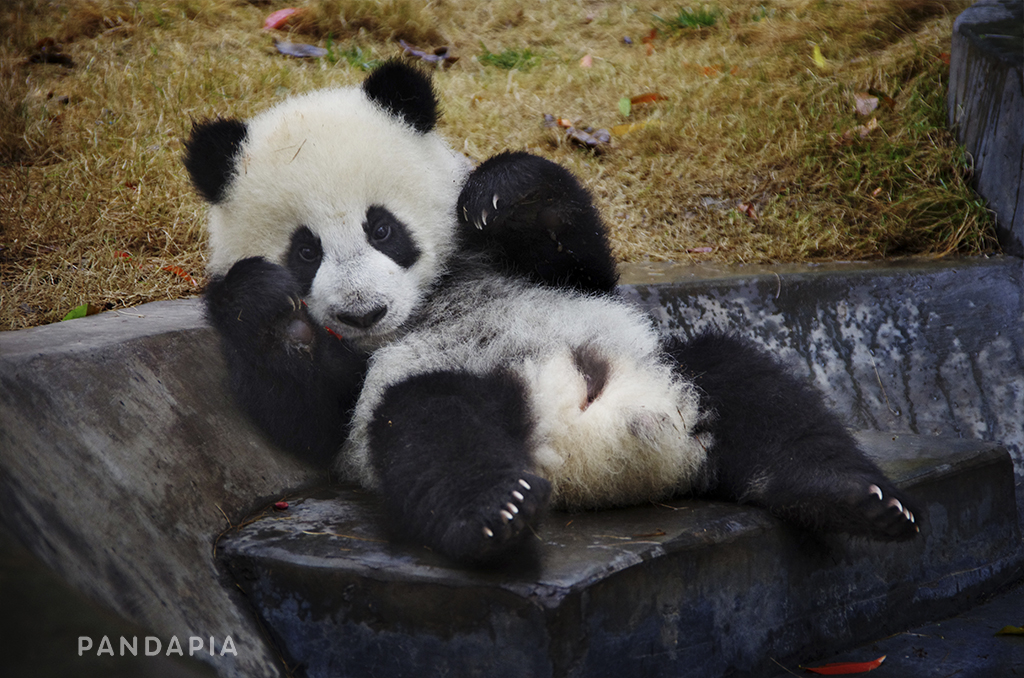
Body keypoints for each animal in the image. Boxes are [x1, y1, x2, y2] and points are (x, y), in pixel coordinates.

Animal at [184, 61, 919, 565]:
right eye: (305, 250)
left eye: (383, 227)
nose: (364, 312)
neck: (429, 303)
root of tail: (600, 453)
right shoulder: (349, 382)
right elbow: (310, 407)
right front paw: (266, 303)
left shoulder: (530, 270)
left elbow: (580, 260)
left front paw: (503, 192)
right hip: (443, 389)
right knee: (428, 430)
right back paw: (495, 514)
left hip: (659, 358)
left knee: (752, 386)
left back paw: (852, 496)